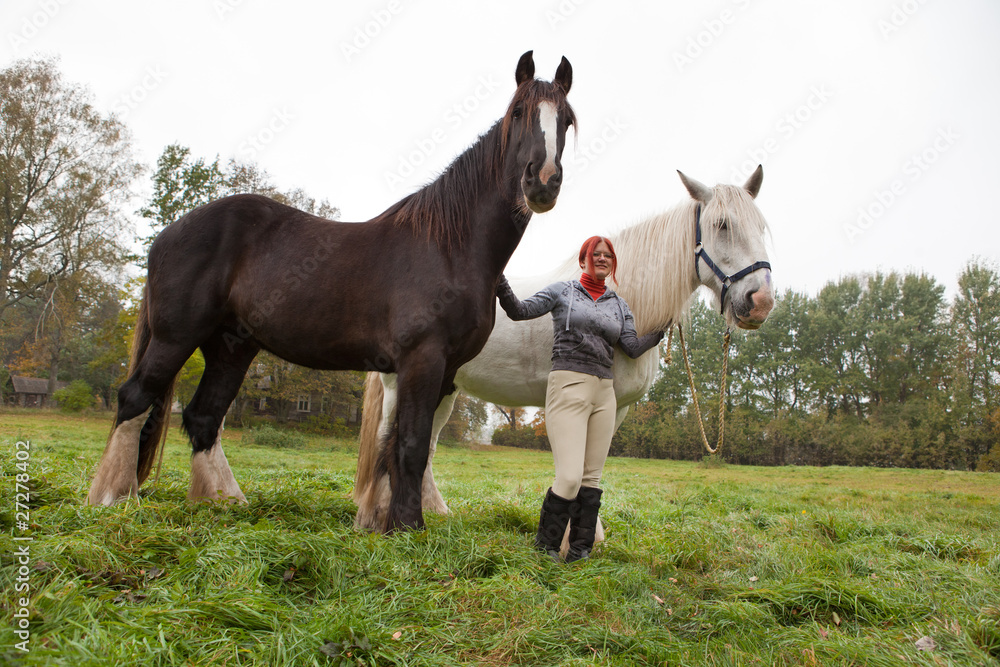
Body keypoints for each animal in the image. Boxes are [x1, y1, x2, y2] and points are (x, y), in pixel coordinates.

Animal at [87, 51, 576, 533]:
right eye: (518, 112)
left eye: (567, 119)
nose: (543, 181)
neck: (447, 245)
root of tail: (172, 231)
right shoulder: (422, 359)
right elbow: (411, 444)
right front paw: (406, 528)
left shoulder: (444, 368)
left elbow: (397, 446)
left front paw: (385, 522)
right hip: (175, 337)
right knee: (135, 398)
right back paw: (114, 498)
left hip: (231, 348)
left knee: (203, 417)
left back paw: (223, 502)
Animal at [354, 167, 775, 540]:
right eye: (721, 225)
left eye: (761, 227)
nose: (760, 302)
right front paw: (569, 537)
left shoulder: (616, 408)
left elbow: (593, 463)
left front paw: (588, 535)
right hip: (402, 385)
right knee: (387, 440)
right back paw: (375, 517)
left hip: (444, 389)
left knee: (425, 443)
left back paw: (434, 510)